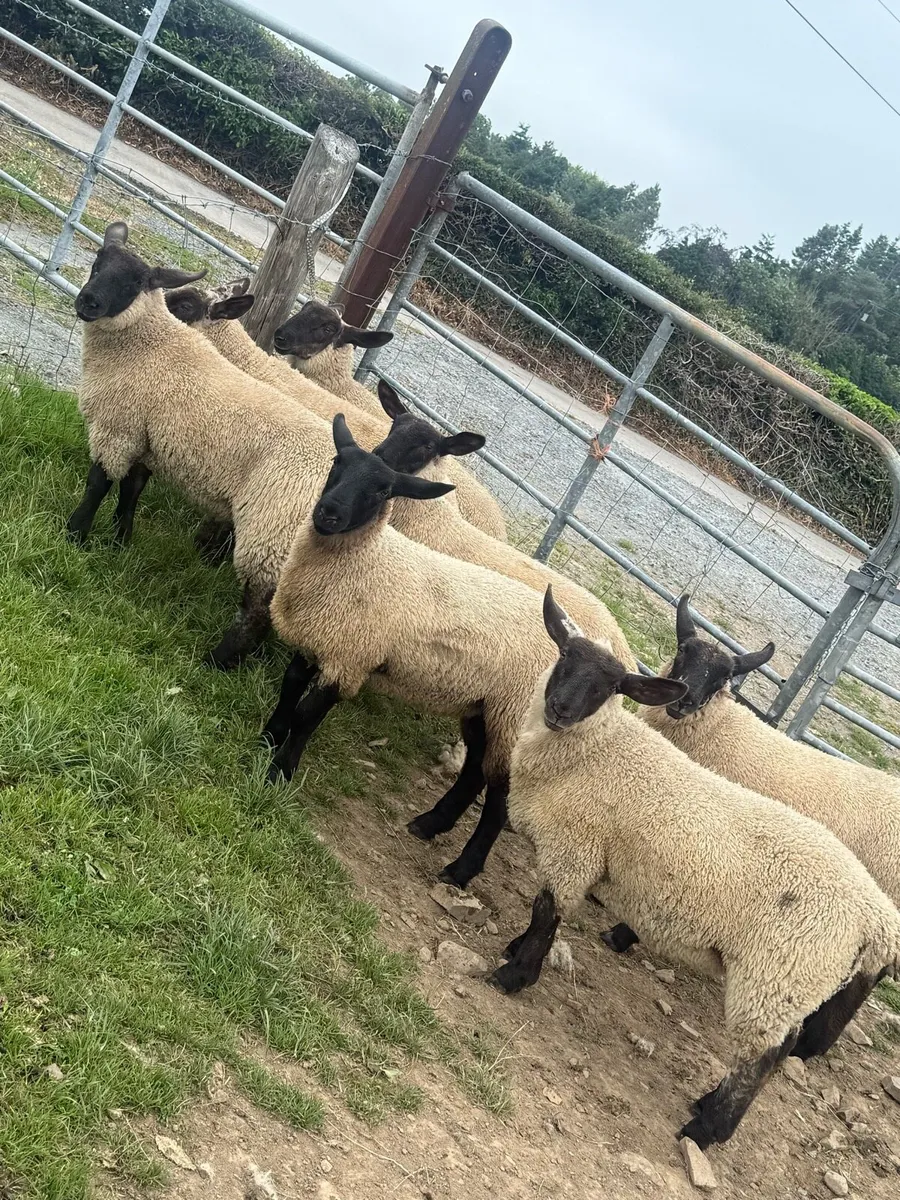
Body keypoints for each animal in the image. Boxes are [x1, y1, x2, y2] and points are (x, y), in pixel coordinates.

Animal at [264, 415, 622, 889]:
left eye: (382, 491)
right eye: (336, 463)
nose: (329, 513)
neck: (368, 560)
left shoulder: (350, 657)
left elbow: (307, 714)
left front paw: (279, 772)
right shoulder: (318, 640)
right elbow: (289, 686)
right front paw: (269, 737)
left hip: (515, 717)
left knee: (498, 796)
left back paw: (461, 869)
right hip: (484, 707)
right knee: (473, 773)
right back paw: (430, 823)